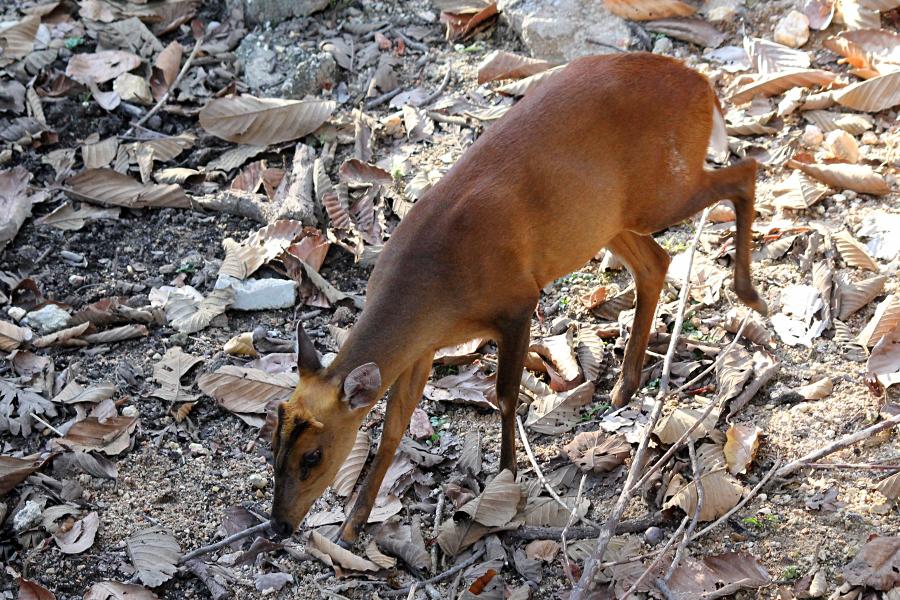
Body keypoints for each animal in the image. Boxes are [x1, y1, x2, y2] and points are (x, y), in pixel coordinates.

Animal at [268, 54, 768, 540]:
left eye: (312, 457)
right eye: (272, 443)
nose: (278, 527)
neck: (433, 288)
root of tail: (701, 83)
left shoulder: (517, 302)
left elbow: (505, 395)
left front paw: (506, 476)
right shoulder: (423, 347)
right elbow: (393, 427)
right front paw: (352, 526)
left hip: (658, 189)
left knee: (745, 172)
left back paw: (750, 296)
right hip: (605, 218)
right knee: (657, 262)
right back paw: (625, 385)